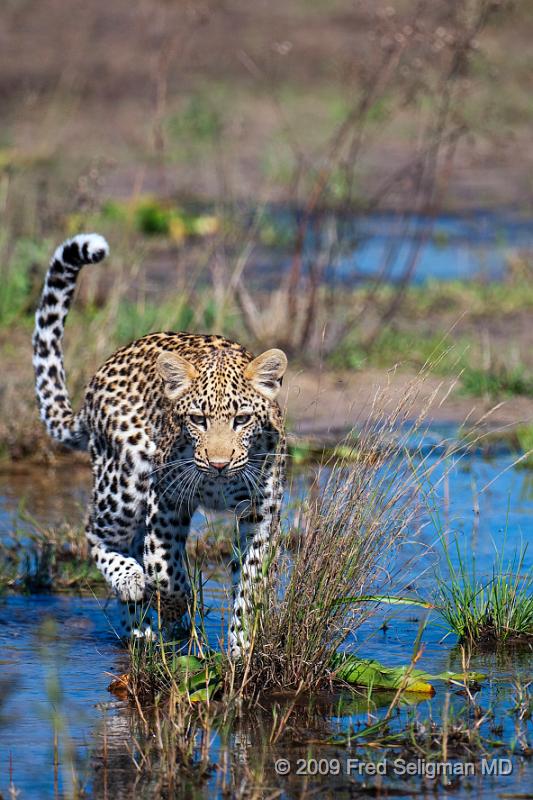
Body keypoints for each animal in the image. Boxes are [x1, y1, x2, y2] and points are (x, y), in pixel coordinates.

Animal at [32, 233, 286, 656]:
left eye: (241, 420)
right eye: (198, 420)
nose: (218, 464)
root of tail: (96, 381)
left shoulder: (260, 515)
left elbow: (250, 586)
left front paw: (241, 650)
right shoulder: (166, 498)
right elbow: (165, 569)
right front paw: (175, 608)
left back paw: (139, 630)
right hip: (126, 477)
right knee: (97, 532)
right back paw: (132, 585)